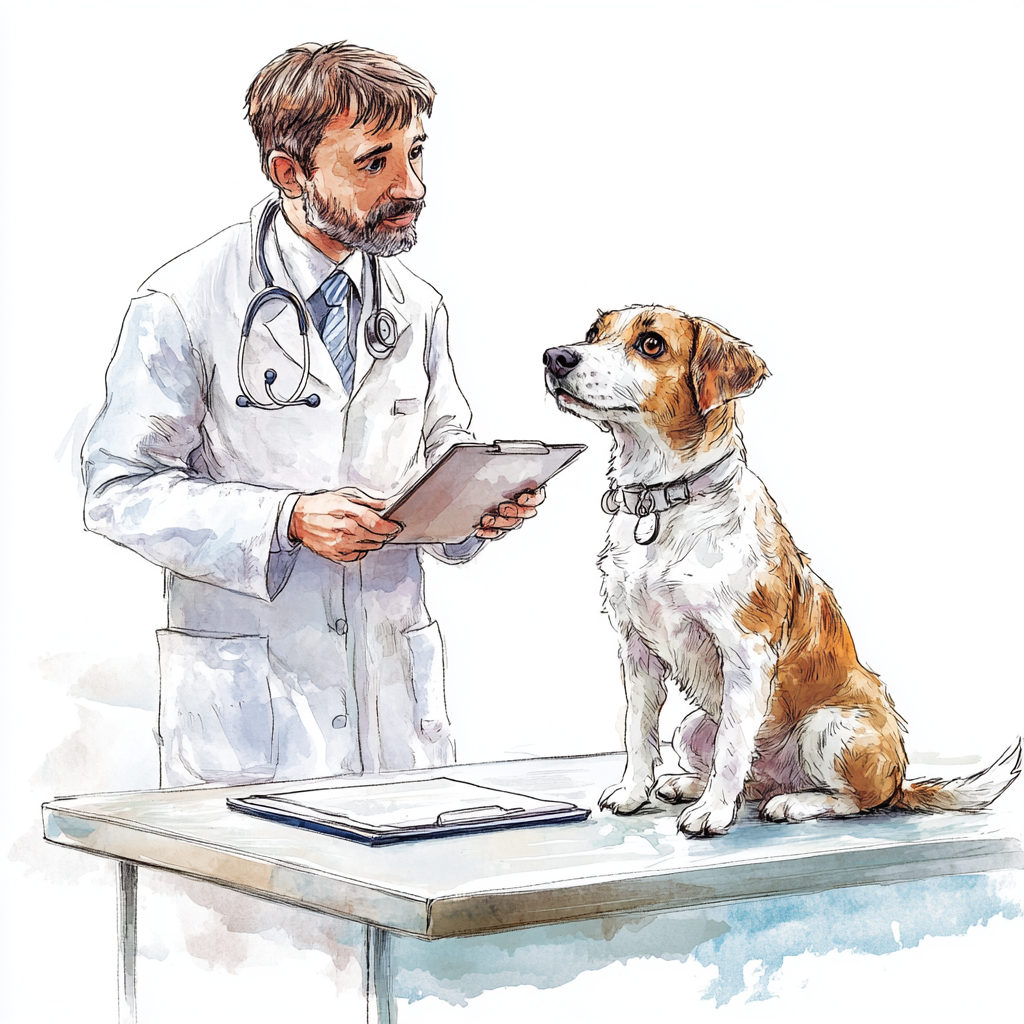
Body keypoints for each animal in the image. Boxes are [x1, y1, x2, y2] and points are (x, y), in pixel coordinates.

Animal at [544, 307, 1015, 835]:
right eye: (593, 333)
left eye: (650, 344)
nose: (555, 357)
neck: (667, 503)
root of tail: (902, 779)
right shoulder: (635, 651)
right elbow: (638, 732)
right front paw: (632, 793)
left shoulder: (746, 655)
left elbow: (731, 747)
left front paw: (710, 814)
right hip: (692, 726)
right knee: (744, 776)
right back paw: (689, 785)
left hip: (832, 728)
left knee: (857, 799)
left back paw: (792, 803)